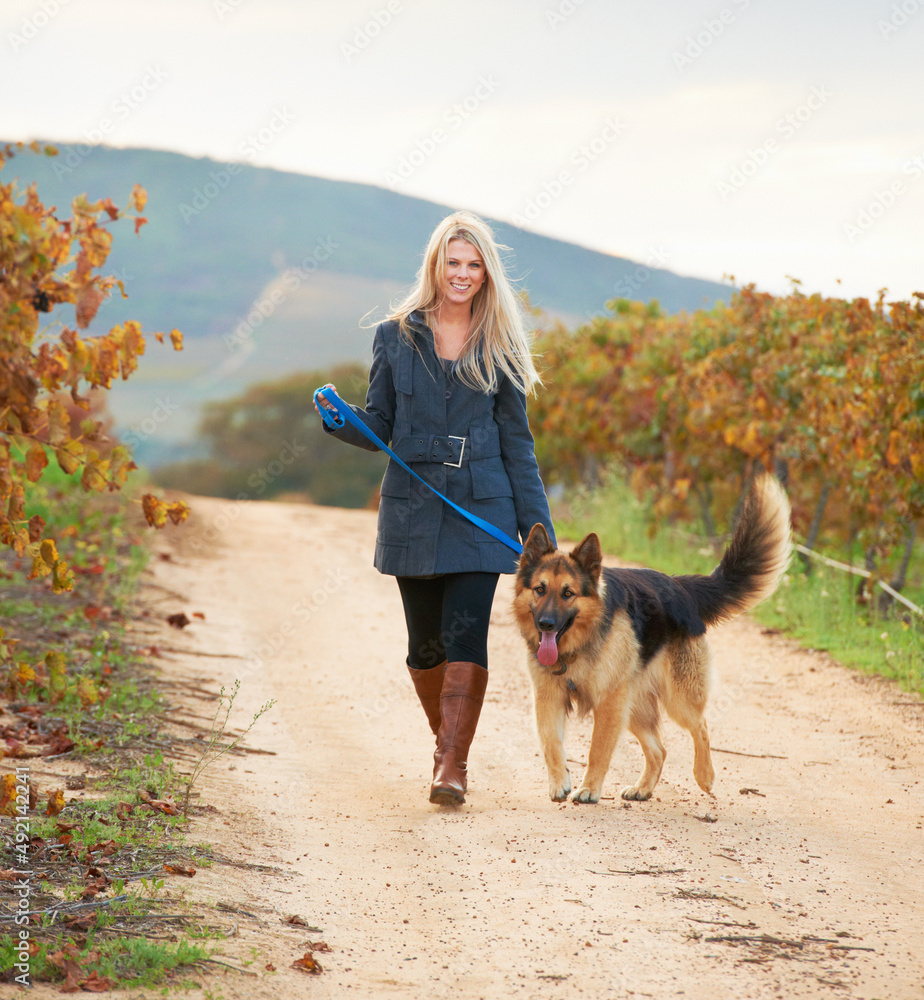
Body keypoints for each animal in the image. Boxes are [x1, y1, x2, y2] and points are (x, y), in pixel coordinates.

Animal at [516, 474, 792, 804]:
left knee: (700, 725)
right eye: (540, 589)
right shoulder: (549, 698)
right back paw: (643, 788)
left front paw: (589, 789)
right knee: (659, 750)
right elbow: (550, 743)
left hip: (674, 699)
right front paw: (560, 781)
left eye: (568, 593)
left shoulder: (609, 703)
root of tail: (680, 586)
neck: (579, 645)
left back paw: (705, 776)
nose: (545, 624)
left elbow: (598, 750)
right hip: (634, 705)